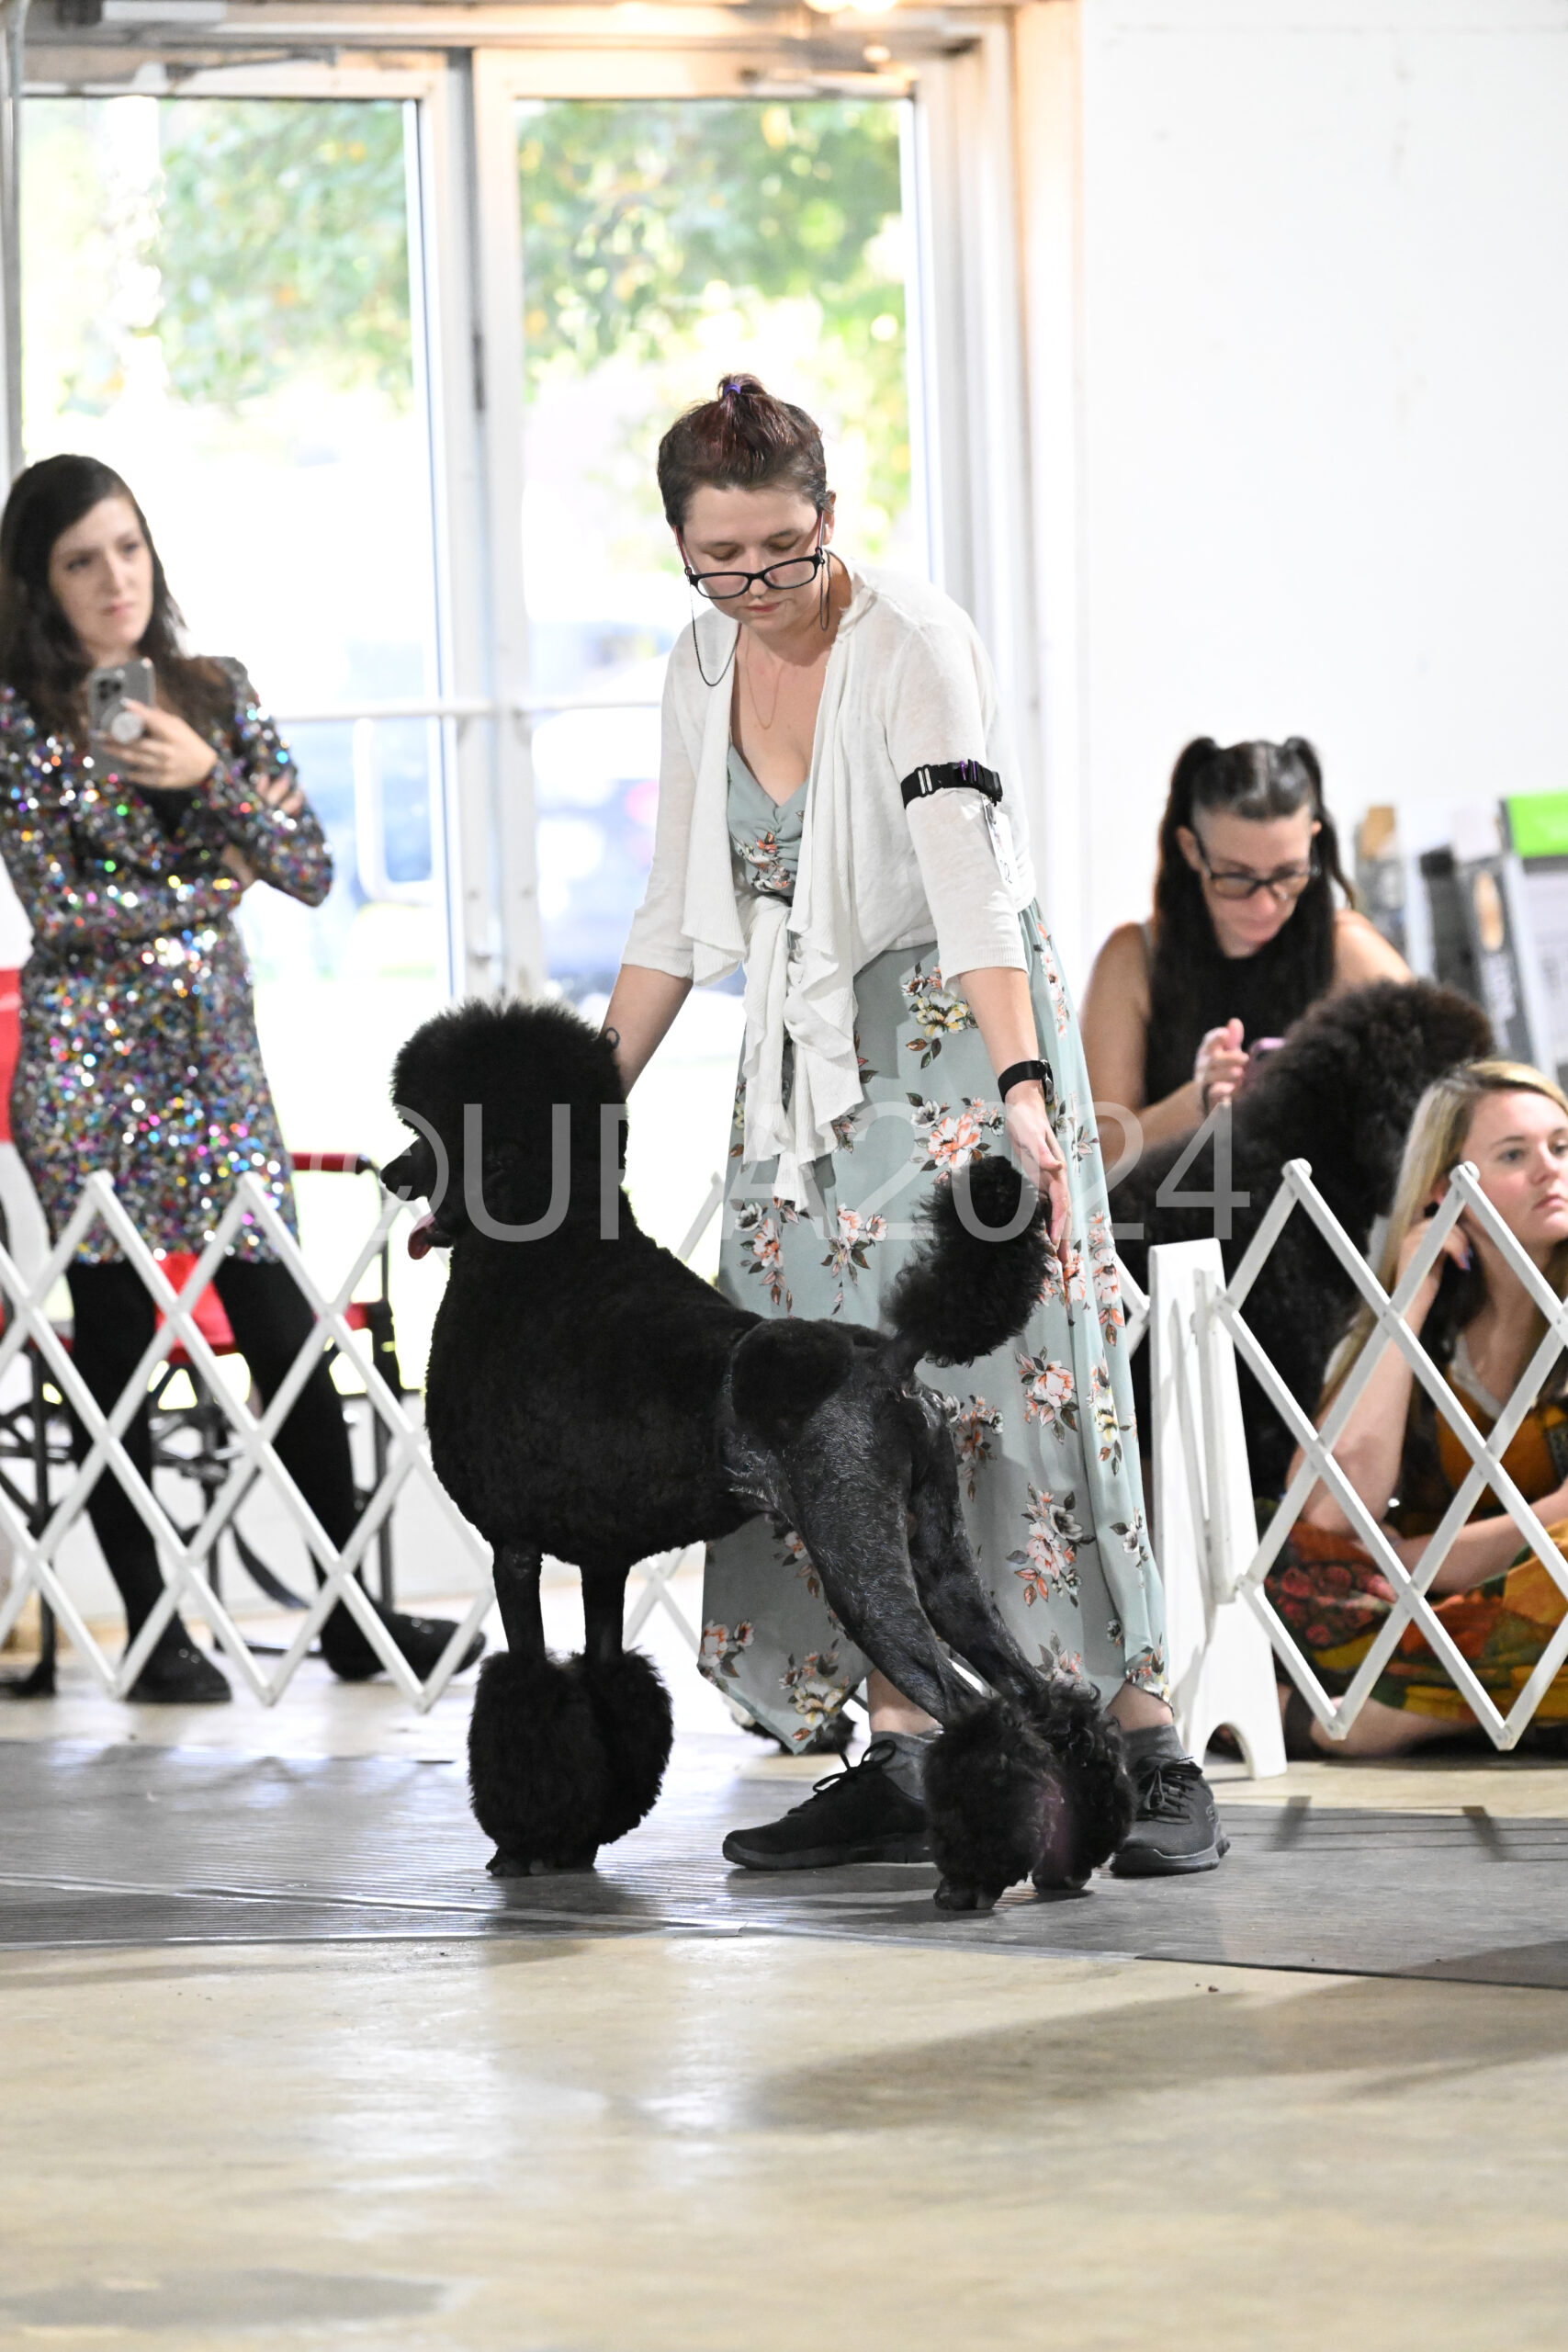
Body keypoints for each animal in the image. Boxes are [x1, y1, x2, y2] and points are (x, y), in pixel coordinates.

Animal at [384, 997, 1134, 1914]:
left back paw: (970, 1881)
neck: (540, 1253)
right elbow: (604, 1677)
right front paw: (581, 1835)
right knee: (1049, 1703)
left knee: (974, 1714)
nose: (391, 1172)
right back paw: (1069, 1858)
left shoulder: (513, 1548)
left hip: (857, 1561)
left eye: (431, 1133)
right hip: (937, 1556)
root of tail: (892, 1359)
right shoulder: (602, 1559)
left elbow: (526, 1686)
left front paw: (525, 1847)